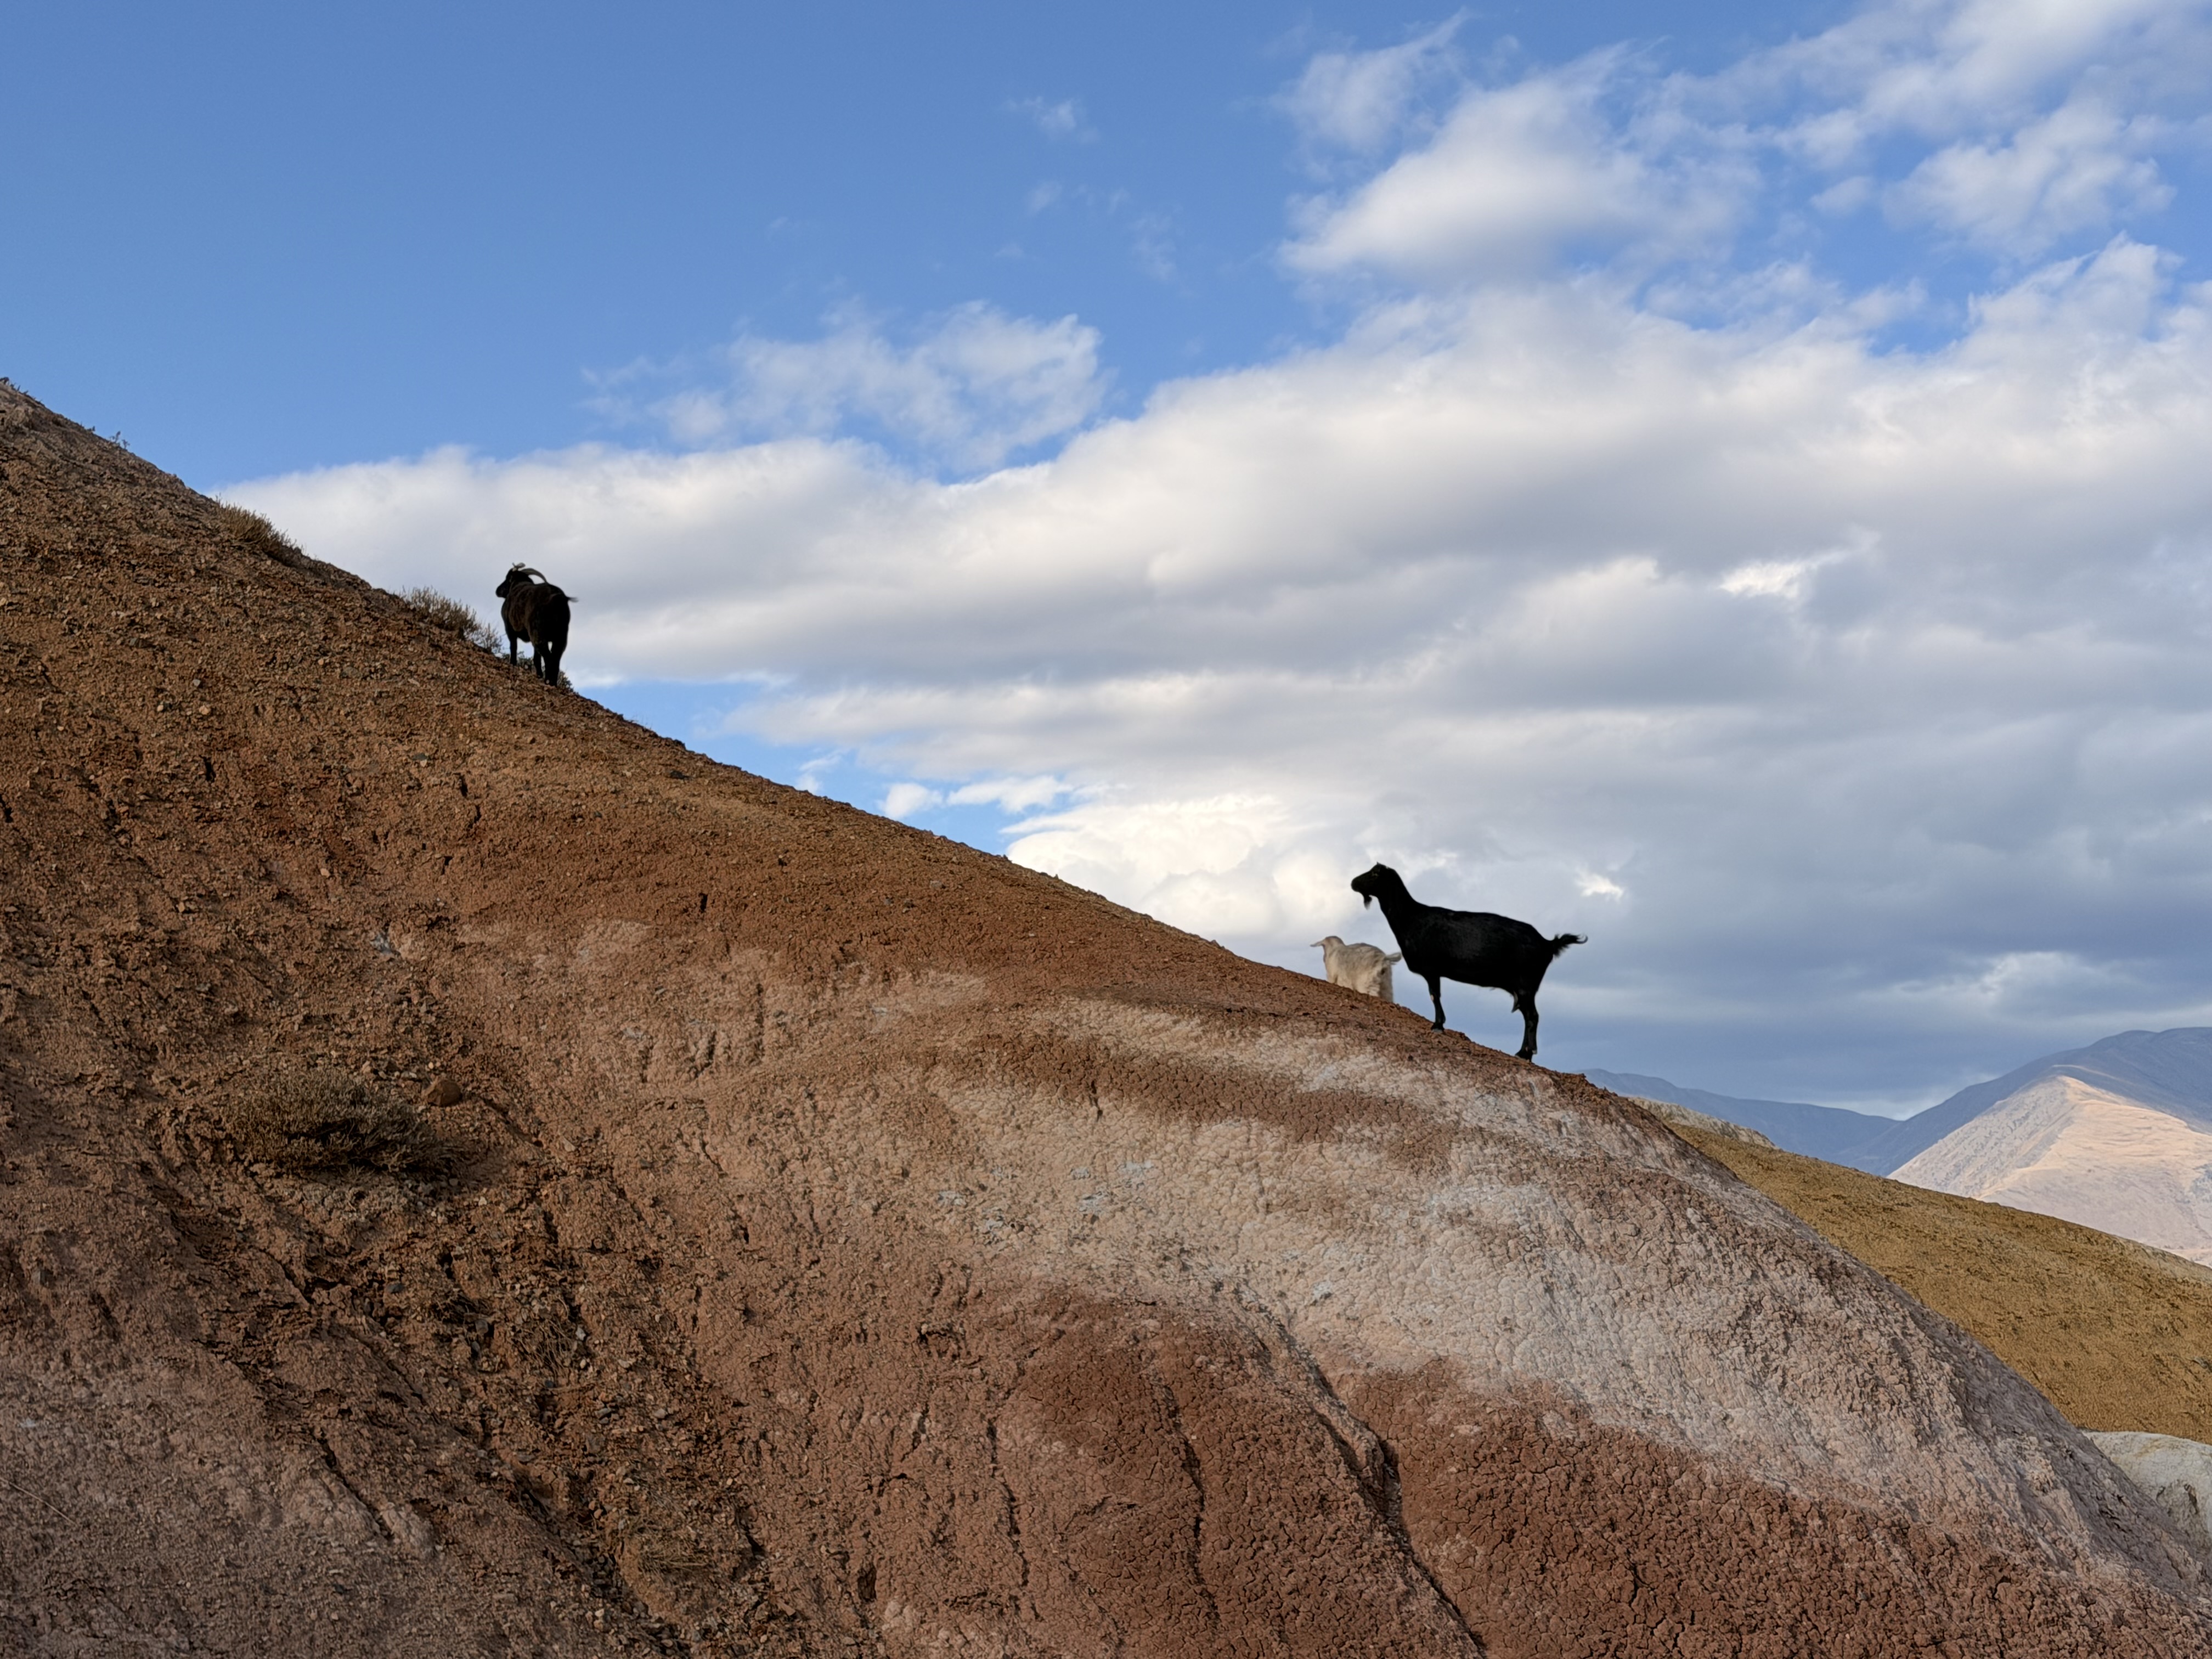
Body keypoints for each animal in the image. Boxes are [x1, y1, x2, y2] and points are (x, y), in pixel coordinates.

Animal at [494, 564, 572, 685]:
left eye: (507, 579)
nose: (498, 591)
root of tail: (557, 598)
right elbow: (537, 658)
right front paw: (539, 675)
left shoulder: (510, 629)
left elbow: (514, 647)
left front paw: (513, 663)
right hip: (561, 636)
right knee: (556, 657)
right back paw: (553, 683)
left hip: (539, 633)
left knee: (548, 657)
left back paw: (548, 681)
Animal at [1312, 936, 1401, 1001]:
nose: (1324, 958)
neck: (1334, 949)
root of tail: (1383, 959)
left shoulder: (1332, 976)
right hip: (1386, 986)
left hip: (1366, 983)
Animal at [1350, 863, 1585, 1061]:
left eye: (1375, 874)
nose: (1353, 883)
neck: (1411, 918)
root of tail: (1548, 944)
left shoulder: (1431, 969)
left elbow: (1434, 996)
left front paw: (1437, 1026)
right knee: (1529, 1016)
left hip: (1526, 985)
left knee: (1532, 1017)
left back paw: (1525, 1053)